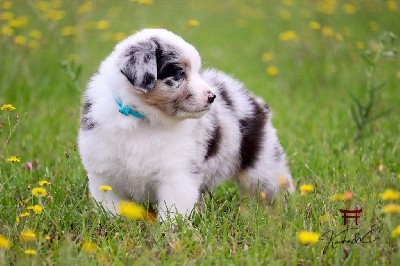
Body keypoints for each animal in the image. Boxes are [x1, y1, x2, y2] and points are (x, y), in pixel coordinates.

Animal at [78, 29, 296, 220]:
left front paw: (171, 233)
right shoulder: (104, 175)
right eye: (179, 73)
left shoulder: (178, 173)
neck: (143, 118)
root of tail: (252, 99)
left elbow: (174, 211)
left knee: (278, 188)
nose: (212, 97)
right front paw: (113, 222)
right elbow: (110, 206)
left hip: (263, 167)